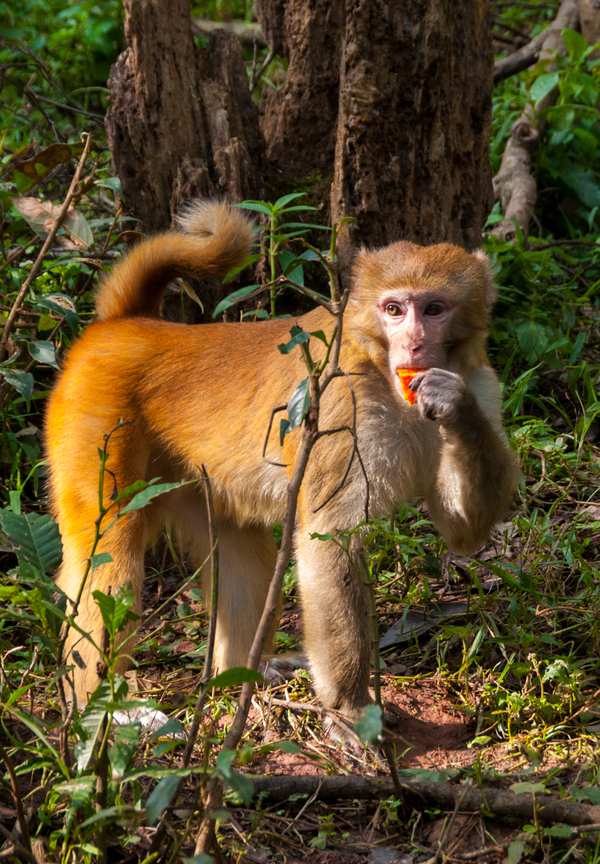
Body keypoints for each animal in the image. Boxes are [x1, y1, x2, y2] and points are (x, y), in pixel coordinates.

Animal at [47, 201, 516, 716]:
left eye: (433, 309)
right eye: (393, 309)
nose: (413, 344)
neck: (382, 372)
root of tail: (127, 325)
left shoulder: (480, 382)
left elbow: (463, 530)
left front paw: (452, 406)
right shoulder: (339, 403)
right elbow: (329, 538)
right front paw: (350, 707)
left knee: (242, 553)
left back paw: (243, 673)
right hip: (95, 421)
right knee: (110, 551)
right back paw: (101, 708)